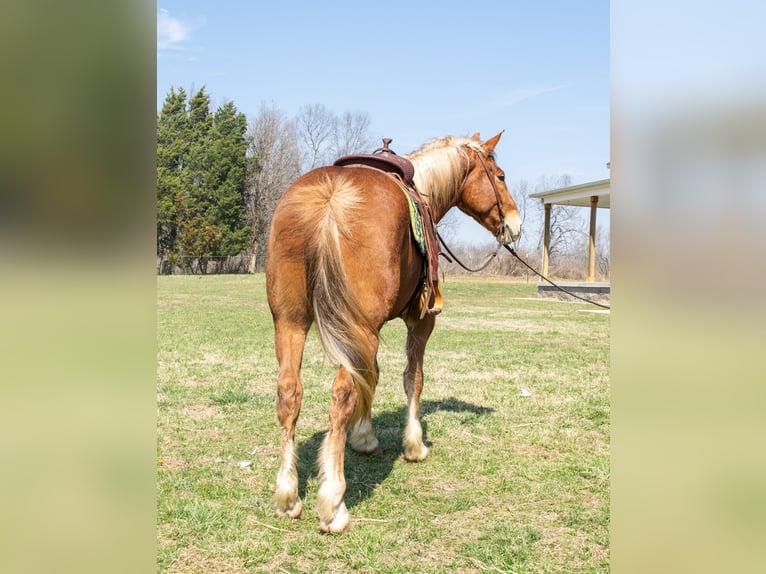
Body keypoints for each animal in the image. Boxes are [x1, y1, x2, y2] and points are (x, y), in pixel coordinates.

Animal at [265, 131, 522, 532]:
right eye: (500, 176)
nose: (515, 223)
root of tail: (330, 197)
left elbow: (371, 376)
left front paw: (365, 438)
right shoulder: (420, 321)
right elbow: (412, 378)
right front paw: (414, 445)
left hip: (290, 323)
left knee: (290, 394)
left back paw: (288, 495)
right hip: (355, 327)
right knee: (340, 395)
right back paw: (333, 503)